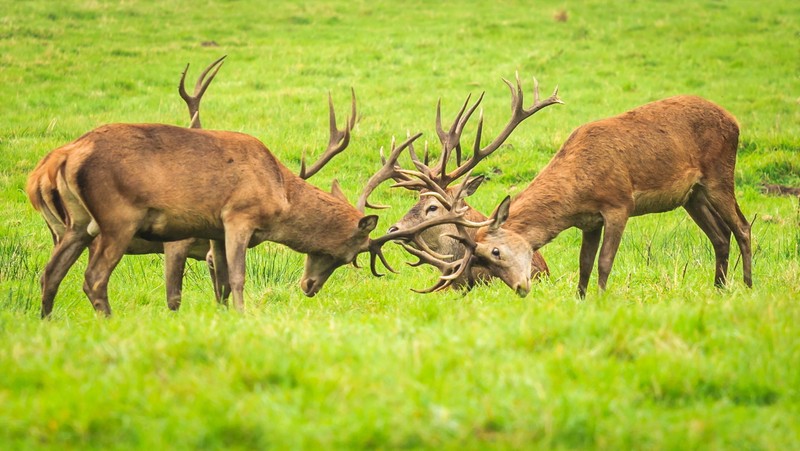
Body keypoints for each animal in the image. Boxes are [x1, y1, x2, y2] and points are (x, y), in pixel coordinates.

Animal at [33, 86, 366, 316]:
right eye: (350, 254)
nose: (309, 287)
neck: (279, 192)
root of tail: (54, 162)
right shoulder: (226, 220)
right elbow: (221, 282)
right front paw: (242, 316)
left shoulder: (214, 233)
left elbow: (221, 285)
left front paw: (224, 316)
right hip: (118, 218)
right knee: (94, 277)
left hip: (74, 226)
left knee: (50, 273)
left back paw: (47, 321)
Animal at [412, 94, 752, 296]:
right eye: (483, 261)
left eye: (494, 252)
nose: (520, 287)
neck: (578, 189)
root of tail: (734, 120)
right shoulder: (589, 221)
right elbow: (584, 264)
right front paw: (582, 299)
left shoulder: (619, 204)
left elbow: (604, 261)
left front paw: (602, 299)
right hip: (691, 195)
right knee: (720, 235)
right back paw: (719, 288)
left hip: (720, 173)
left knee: (743, 227)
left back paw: (748, 285)